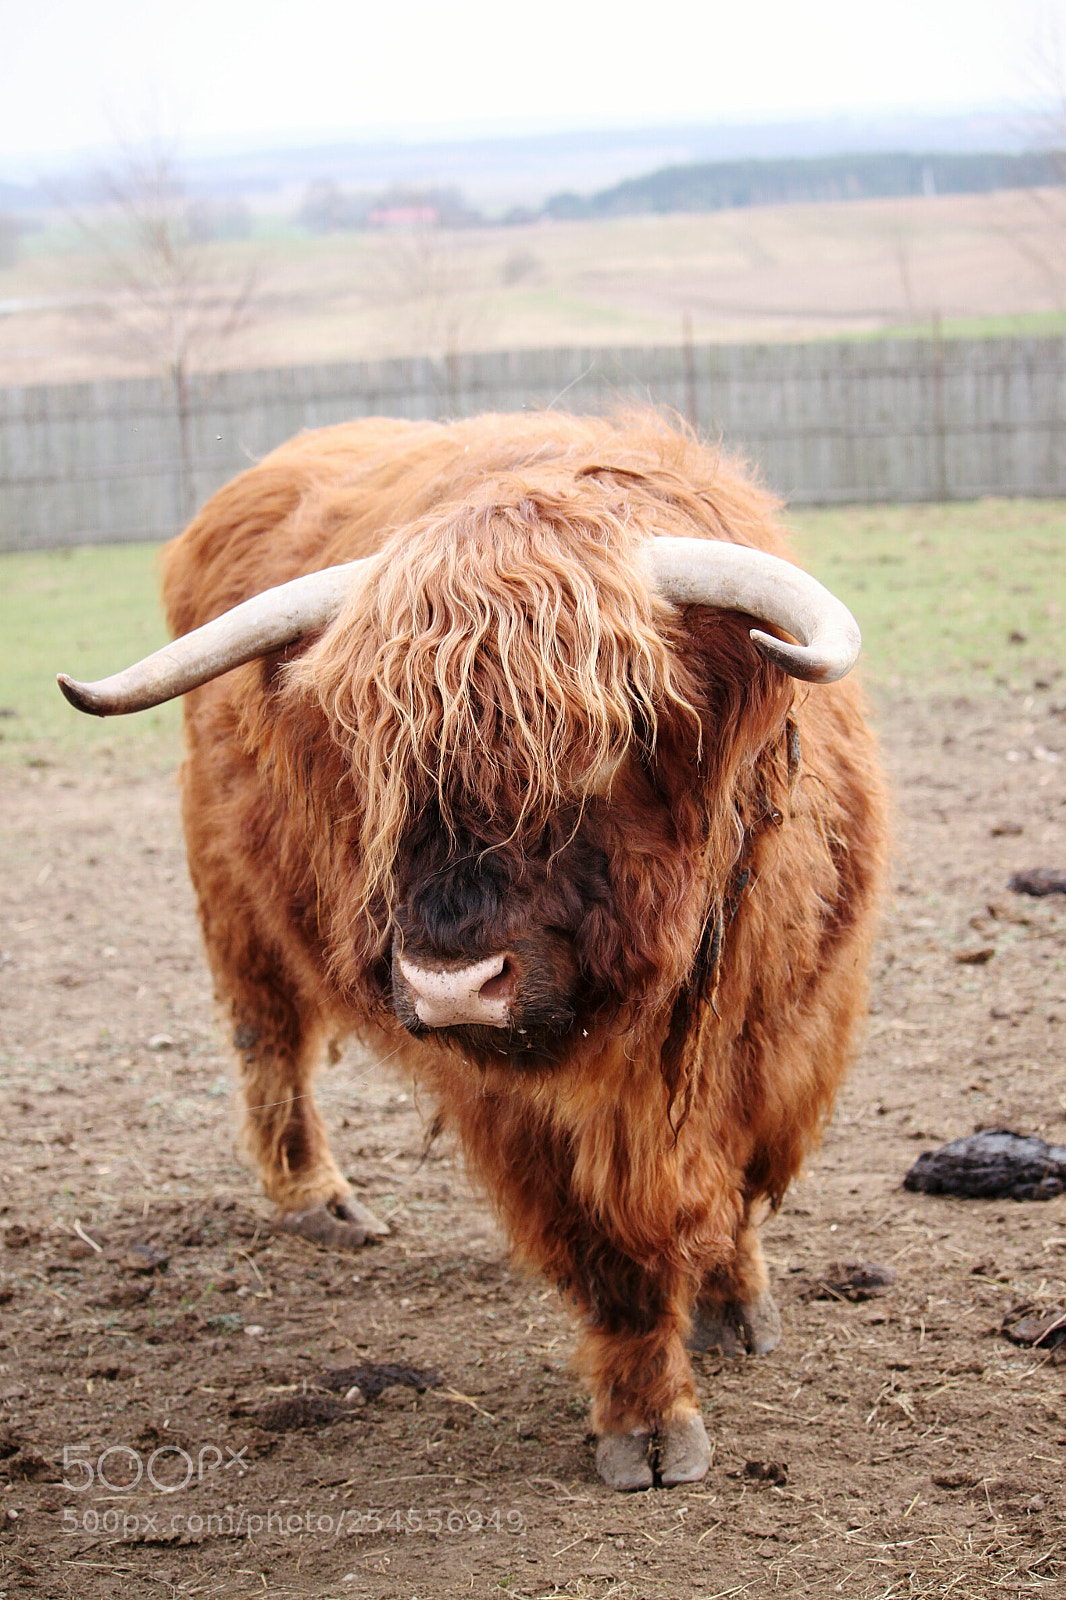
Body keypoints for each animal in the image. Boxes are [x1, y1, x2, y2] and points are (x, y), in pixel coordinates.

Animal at [59, 413, 888, 1490]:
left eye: (614, 736)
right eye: (374, 752)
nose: (451, 984)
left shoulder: (783, 1038)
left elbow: (736, 1188)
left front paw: (734, 1308)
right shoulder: (516, 1107)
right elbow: (606, 1257)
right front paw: (648, 1423)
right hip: (233, 899)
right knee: (266, 1041)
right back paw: (318, 1200)